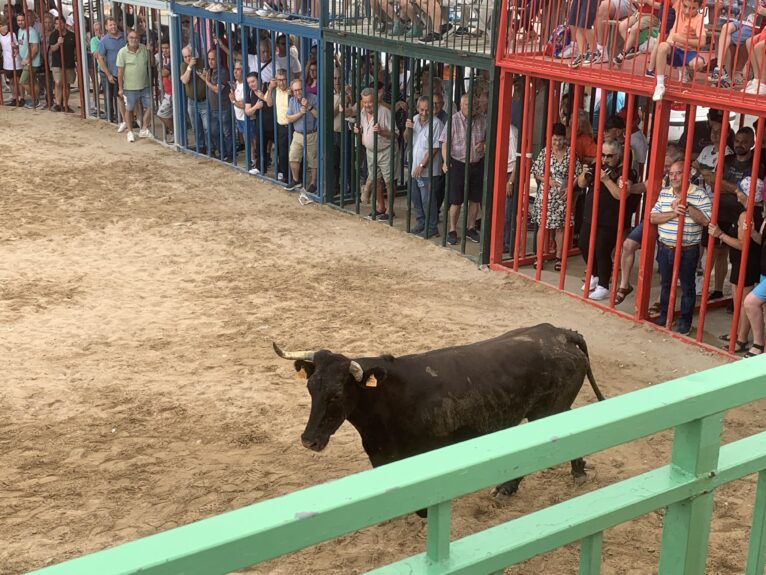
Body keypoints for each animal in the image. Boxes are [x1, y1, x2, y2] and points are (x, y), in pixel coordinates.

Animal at [276, 324, 608, 500]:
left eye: (337, 394)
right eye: (311, 388)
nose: (309, 440)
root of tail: (560, 333)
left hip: (547, 412)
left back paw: (510, 487)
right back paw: (575, 472)